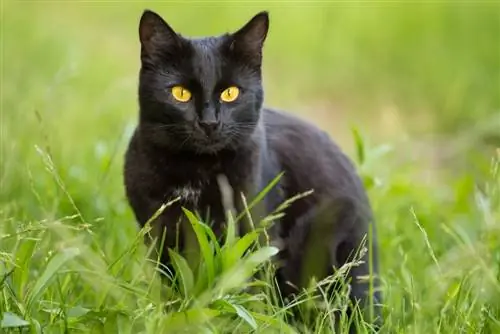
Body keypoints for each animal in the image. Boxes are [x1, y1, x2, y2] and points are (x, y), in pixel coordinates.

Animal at [124, 9, 382, 330]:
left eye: (231, 93)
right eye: (180, 93)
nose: (209, 122)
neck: (196, 171)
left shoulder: (253, 231)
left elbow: (245, 290)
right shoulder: (159, 234)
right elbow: (174, 284)